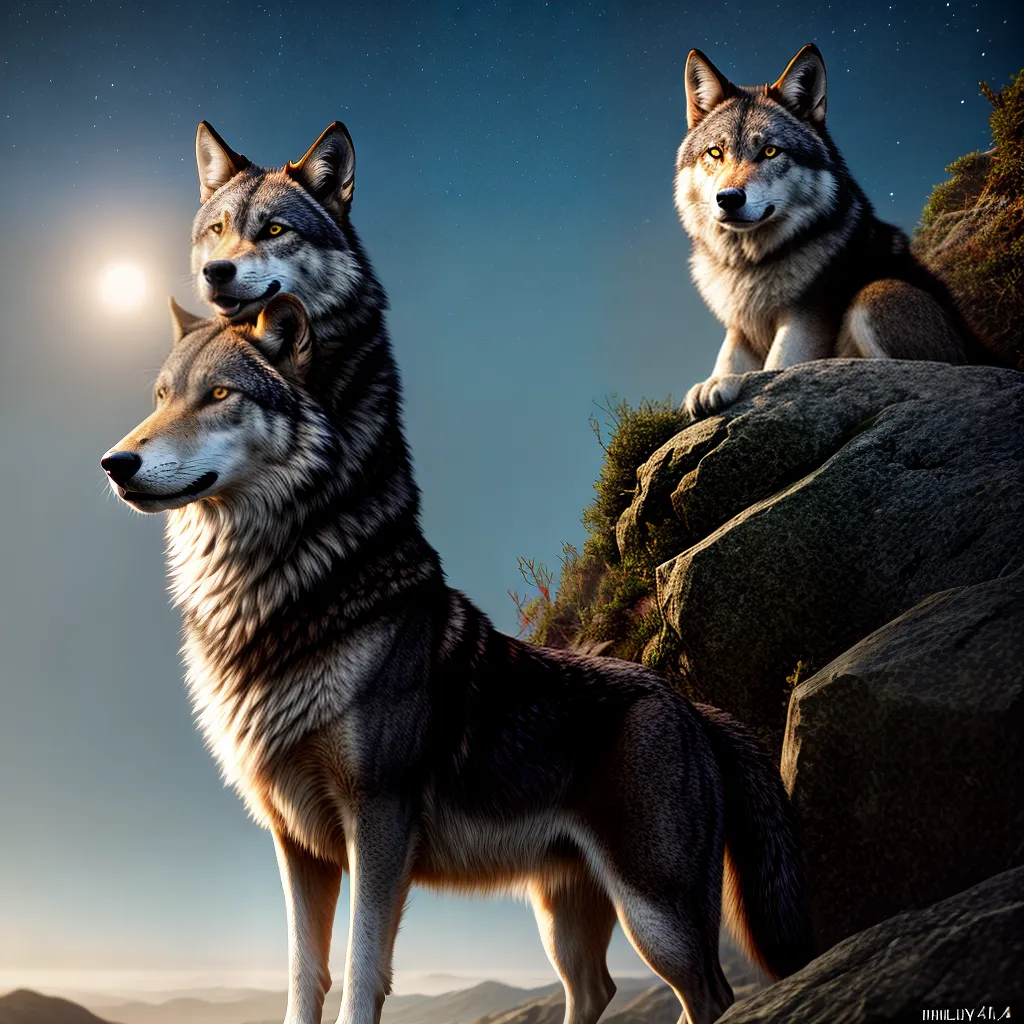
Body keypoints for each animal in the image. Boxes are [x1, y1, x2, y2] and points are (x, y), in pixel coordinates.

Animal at [101, 124, 812, 1024]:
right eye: (160, 396)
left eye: (220, 396)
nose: (116, 464)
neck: (271, 593)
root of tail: (698, 708)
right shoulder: (296, 843)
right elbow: (304, 976)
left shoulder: (378, 825)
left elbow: (362, 972)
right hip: (565, 913)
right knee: (598, 987)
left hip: (658, 914)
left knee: (707, 993)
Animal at [675, 43, 983, 419]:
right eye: (715, 152)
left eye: (770, 151)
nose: (728, 198)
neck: (752, 266)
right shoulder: (740, 327)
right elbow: (727, 359)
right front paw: (713, 384)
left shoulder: (803, 320)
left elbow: (772, 372)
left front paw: (730, 383)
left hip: (878, 294)